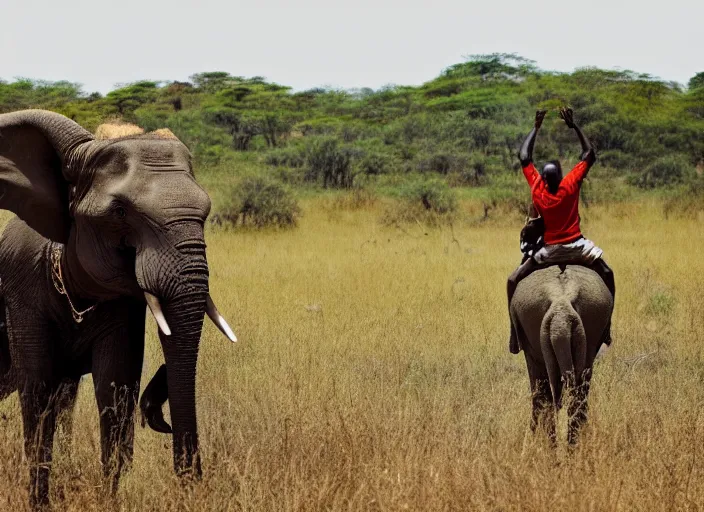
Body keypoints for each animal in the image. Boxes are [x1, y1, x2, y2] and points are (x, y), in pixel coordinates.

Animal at [0, 110, 236, 510]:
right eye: (120, 212)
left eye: (206, 212)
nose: (191, 483)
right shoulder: (21, 293)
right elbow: (36, 391)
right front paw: (39, 504)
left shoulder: (122, 307)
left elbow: (115, 389)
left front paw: (109, 501)